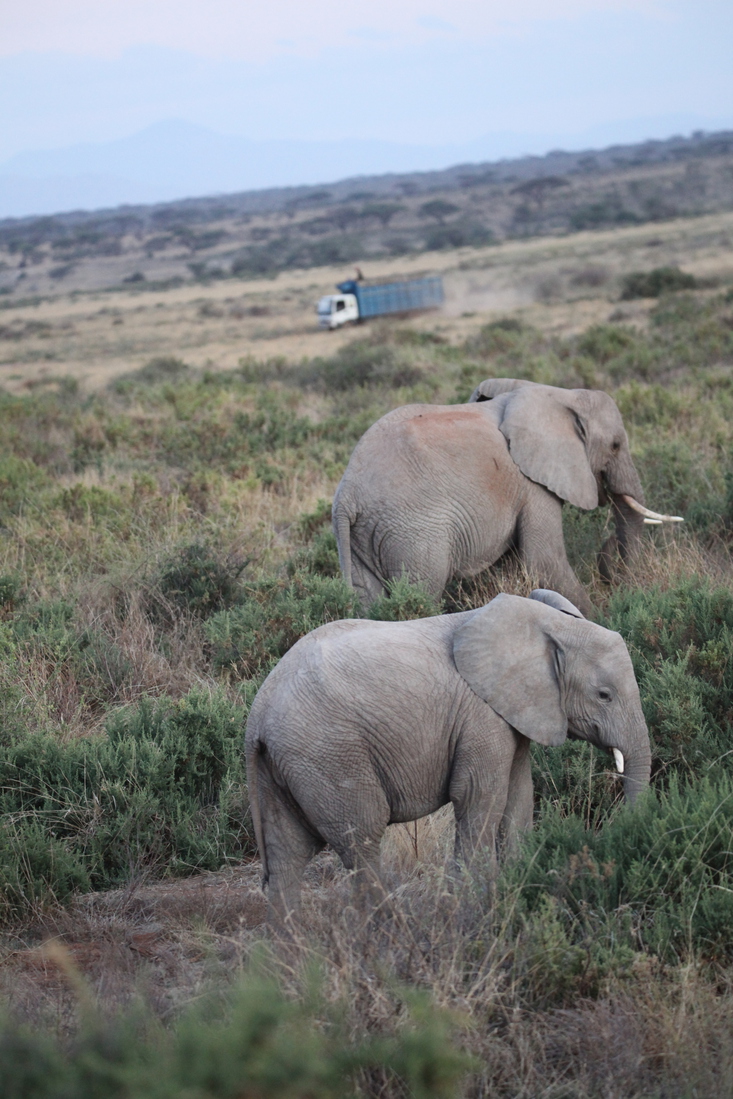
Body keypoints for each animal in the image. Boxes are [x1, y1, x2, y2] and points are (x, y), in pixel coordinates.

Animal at [246, 589, 654, 923]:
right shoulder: (481, 716)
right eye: (604, 695)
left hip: (285, 764)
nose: (618, 834)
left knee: (287, 856)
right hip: (327, 755)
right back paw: (393, 929)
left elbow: (519, 796)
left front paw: (520, 882)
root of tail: (256, 720)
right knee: (361, 838)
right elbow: (480, 796)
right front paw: (471, 902)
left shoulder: (513, 714)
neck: (543, 623)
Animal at [331, 378, 681, 619]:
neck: (557, 394)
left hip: (364, 537)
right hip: (413, 532)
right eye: (616, 445)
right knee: (420, 594)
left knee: (368, 599)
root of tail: (347, 496)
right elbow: (545, 560)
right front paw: (600, 621)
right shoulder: (532, 485)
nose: (608, 547)